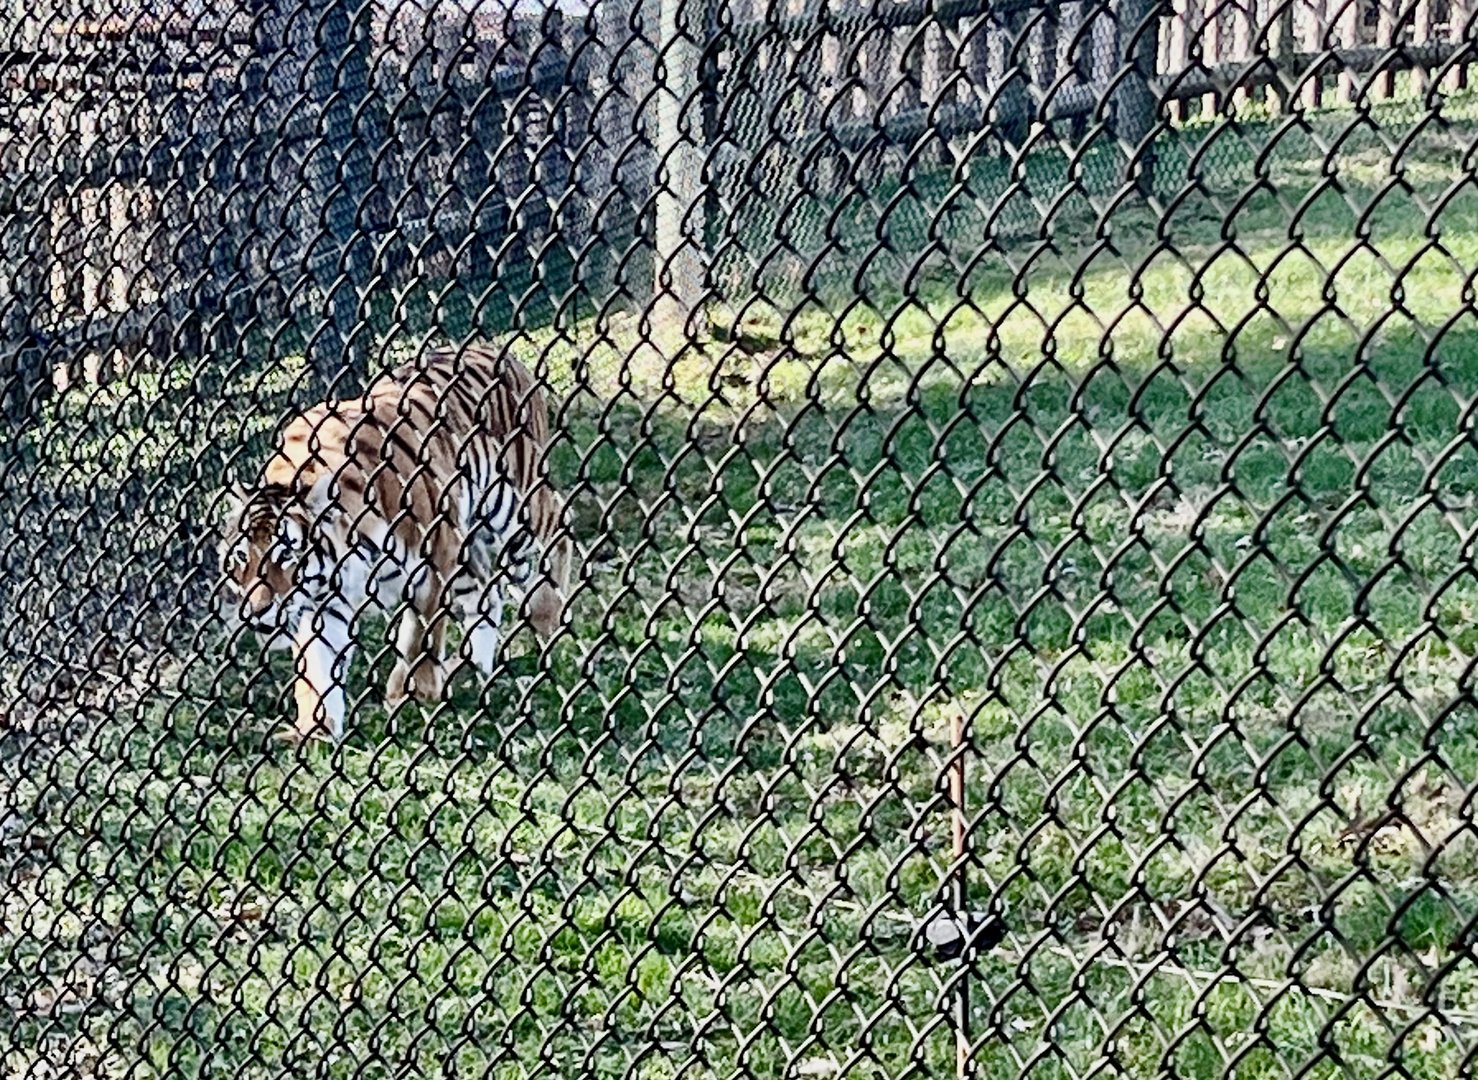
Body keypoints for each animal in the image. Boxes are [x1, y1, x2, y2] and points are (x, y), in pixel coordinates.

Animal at [217, 343, 571, 743]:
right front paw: (315, 729)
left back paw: (548, 619)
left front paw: (411, 691)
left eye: (286, 557)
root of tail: (498, 349)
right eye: (241, 558)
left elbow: (419, 635)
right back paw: (473, 667)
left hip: (513, 505)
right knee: (487, 592)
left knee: (558, 524)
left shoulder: (433, 560)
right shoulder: (322, 604)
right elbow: (316, 670)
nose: (255, 612)